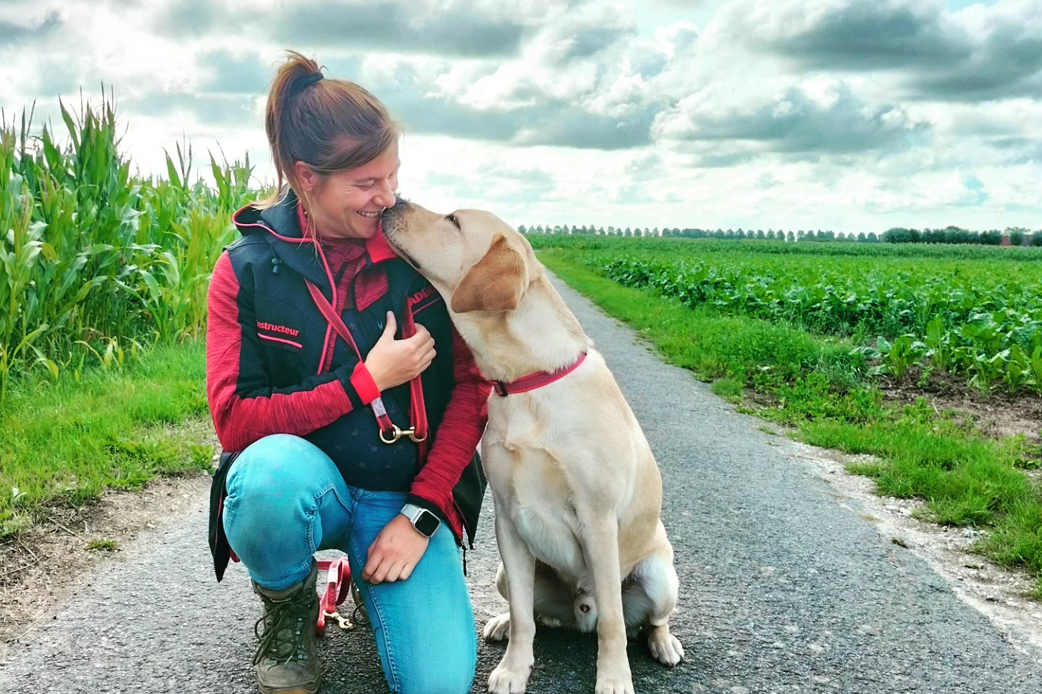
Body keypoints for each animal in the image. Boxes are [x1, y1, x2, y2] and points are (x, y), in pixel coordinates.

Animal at [382, 201, 683, 694]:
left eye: (453, 221)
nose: (391, 202)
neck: (527, 379)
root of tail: (578, 613)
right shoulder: (507, 519)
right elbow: (526, 615)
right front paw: (513, 668)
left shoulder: (599, 522)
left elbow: (613, 625)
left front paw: (614, 678)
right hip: (505, 572)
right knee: (534, 613)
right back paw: (503, 622)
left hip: (660, 578)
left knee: (643, 620)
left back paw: (663, 643)